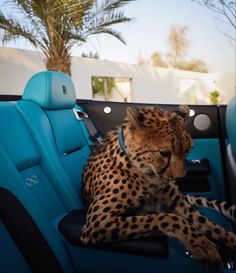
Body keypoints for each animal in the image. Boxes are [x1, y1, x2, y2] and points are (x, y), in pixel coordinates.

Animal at [81, 105, 236, 266]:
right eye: (164, 153)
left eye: (188, 150)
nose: (180, 177)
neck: (147, 172)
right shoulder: (97, 221)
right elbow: (168, 218)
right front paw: (202, 245)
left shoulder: (178, 202)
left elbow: (208, 224)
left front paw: (231, 239)